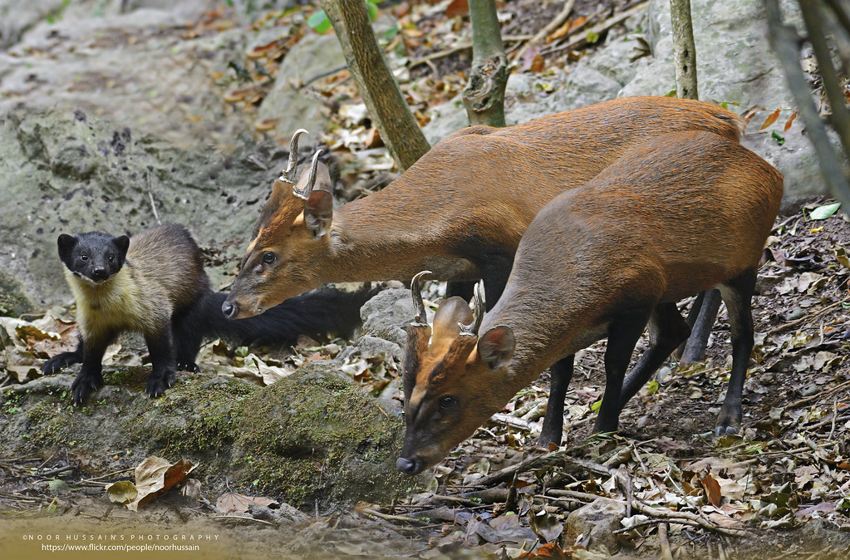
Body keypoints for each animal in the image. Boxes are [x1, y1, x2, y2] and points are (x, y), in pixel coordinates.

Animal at [398, 132, 780, 476]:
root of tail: (771, 172)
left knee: (742, 334)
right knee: (675, 331)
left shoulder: (636, 294)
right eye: (408, 392)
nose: (406, 462)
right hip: (670, 285)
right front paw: (550, 438)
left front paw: (603, 429)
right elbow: (560, 372)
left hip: (742, 261)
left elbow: (613, 363)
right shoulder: (615, 306)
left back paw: (728, 419)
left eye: (448, 398)